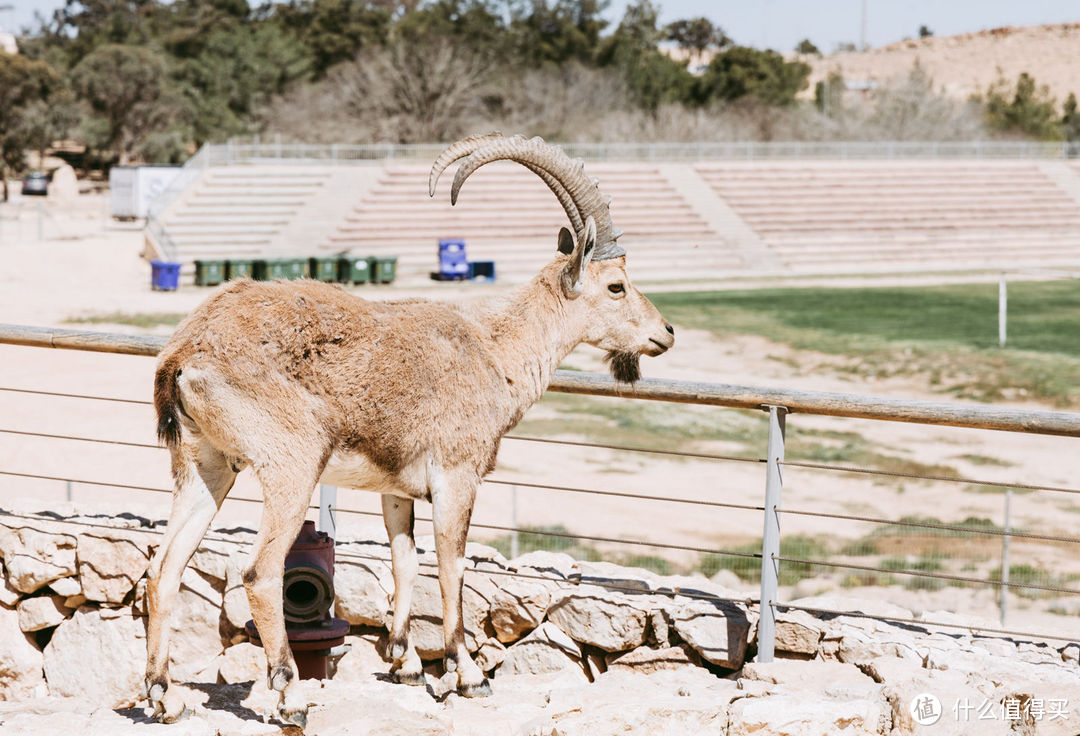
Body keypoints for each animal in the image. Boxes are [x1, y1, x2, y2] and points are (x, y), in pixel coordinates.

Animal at [144, 133, 673, 721]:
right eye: (617, 286)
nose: (665, 333)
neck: (496, 354)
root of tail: (185, 352)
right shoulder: (458, 477)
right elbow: (451, 567)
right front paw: (468, 674)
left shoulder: (396, 488)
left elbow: (405, 563)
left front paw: (407, 664)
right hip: (292, 464)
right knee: (260, 572)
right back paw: (290, 697)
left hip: (204, 464)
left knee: (163, 569)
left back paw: (165, 698)